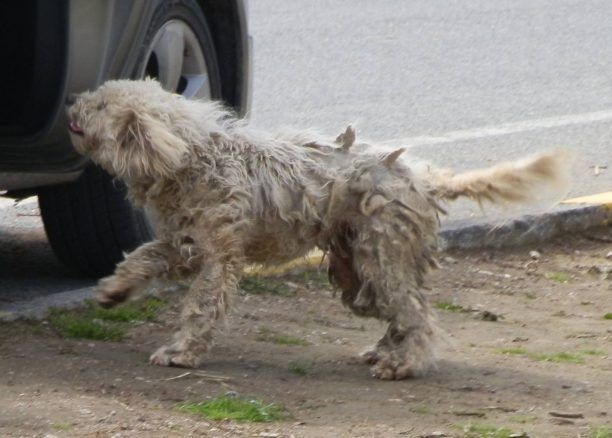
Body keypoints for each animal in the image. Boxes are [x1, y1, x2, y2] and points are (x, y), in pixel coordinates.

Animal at [68, 79, 568, 380]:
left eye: (103, 106)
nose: (73, 104)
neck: (192, 158)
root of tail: (423, 178)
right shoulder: (182, 243)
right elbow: (142, 258)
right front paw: (114, 290)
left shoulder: (218, 255)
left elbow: (202, 306)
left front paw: (181, 351)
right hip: (357, 274)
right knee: (400, 312)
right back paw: (386, 352)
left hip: (380, 257)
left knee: (418, 315)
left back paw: (402, 364)